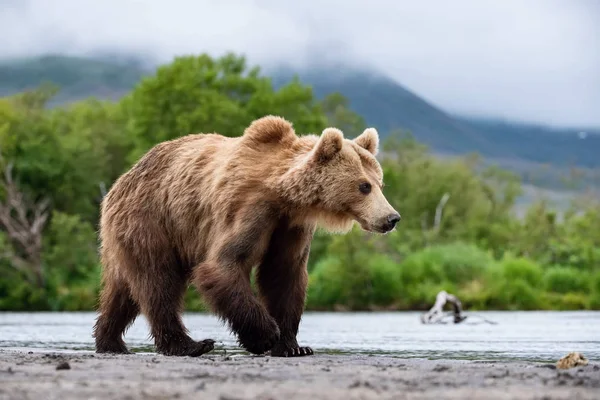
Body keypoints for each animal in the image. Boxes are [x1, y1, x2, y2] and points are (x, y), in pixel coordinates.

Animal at [94, 115, 400, 356]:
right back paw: (190, 345)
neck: (286, 197)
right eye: (364, 186)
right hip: (152, 222)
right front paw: (265, 336)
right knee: (158, 283)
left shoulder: (291, 227)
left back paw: (110, 341)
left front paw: (293, 346)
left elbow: (284, 275)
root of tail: (119, 183)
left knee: (123, 290)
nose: (392, 218)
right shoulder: (250, 210)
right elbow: (222, 266)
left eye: (380, 183)